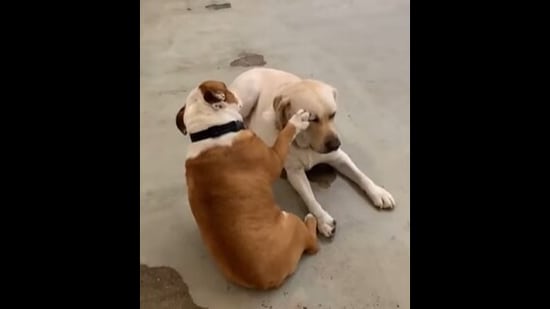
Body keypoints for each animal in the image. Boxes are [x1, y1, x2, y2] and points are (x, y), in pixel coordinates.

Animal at [178, 79, 320, 288]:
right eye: (225, 87)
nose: (234, 90)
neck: (210, 131)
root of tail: (265, 280)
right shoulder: (275, 158)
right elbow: (285, 135)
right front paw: (297, 120)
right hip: (293, 222)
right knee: (312, 244)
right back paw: (311, 220)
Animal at [230, 67, 396, 236]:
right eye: (311, 119)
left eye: (333, 114)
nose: (335, 144)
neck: (307, 146)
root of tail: (253, 69)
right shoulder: (294, 172)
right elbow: (310, 197)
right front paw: (323, 220)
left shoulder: (340, 158)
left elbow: (360, 175)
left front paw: (377, 192)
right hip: (248, 96)